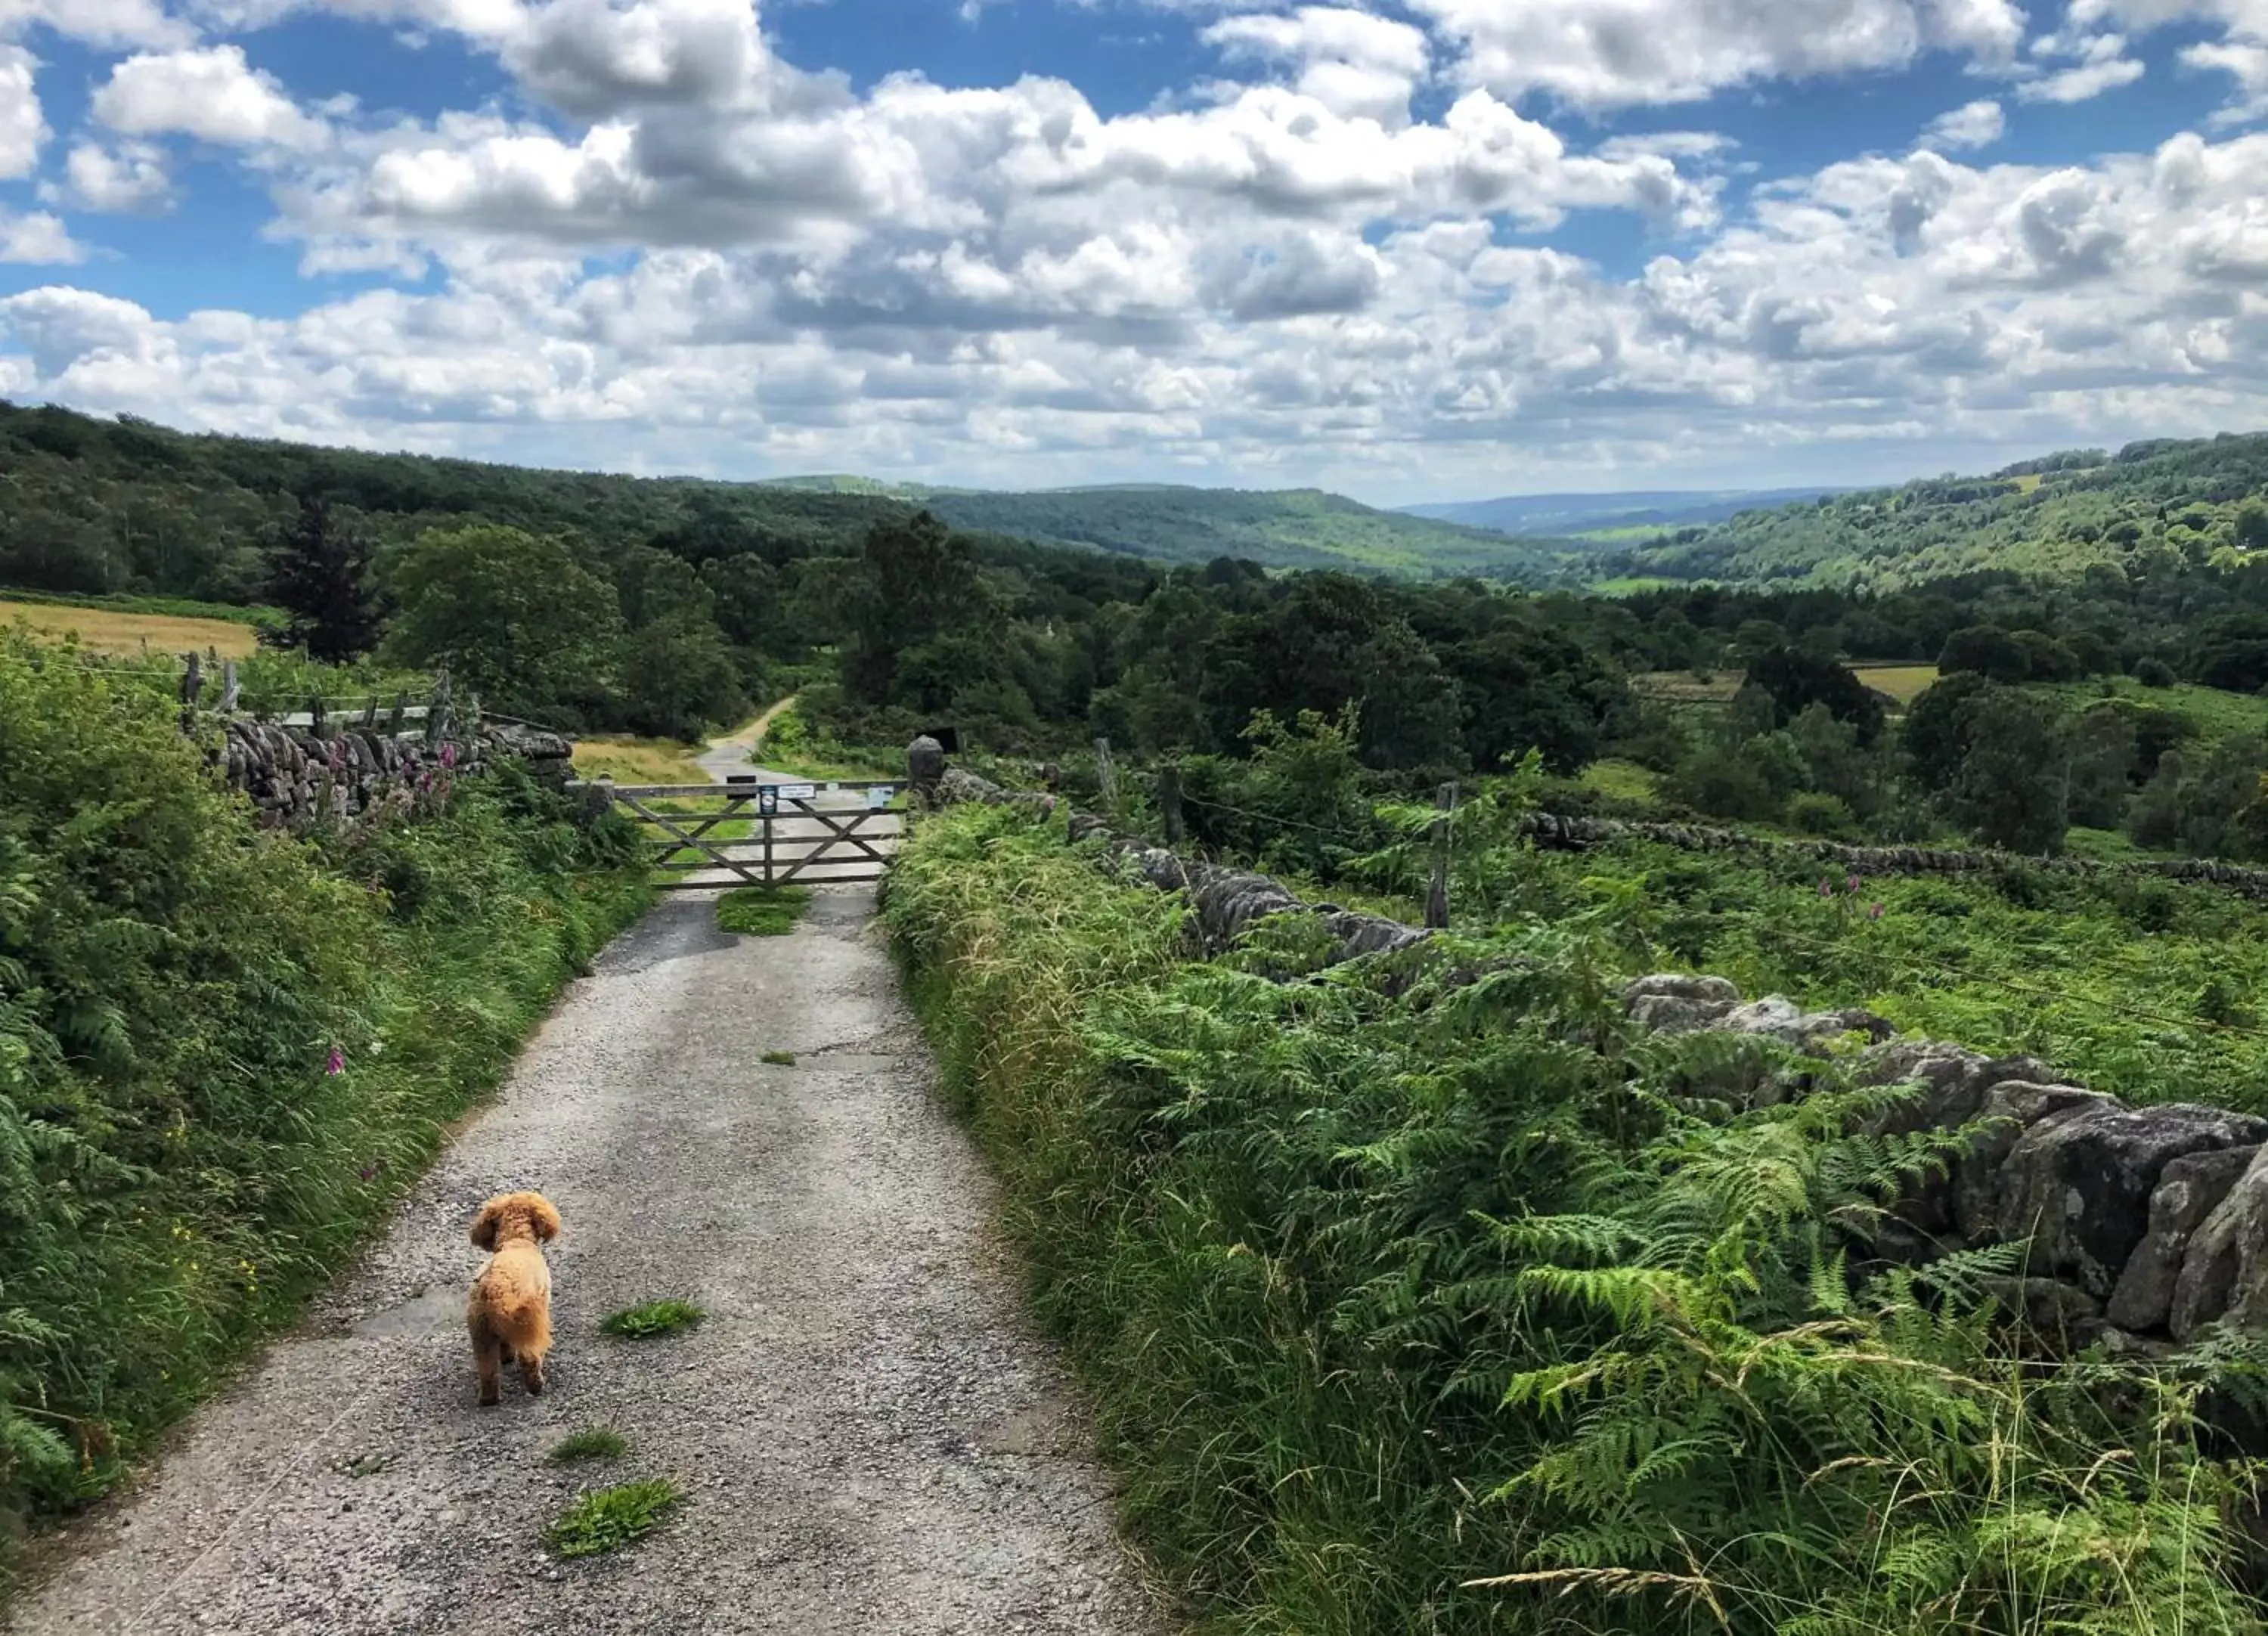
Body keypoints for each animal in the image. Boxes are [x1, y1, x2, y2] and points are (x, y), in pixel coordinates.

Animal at [465, 1188, 562, 1406]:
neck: (515, 1241)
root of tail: (493, 1290)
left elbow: (506, 1344)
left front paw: (507, 1356)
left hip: (481, 1334)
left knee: (487, 1370)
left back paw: (489, 1398)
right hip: (526, 1323)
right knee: (530, 1359)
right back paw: (536, 1386)